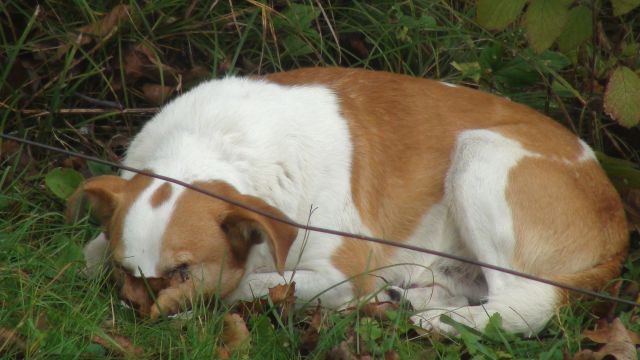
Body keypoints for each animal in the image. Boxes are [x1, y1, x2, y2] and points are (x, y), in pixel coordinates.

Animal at [72, 67, 628, 334]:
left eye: (184, 270)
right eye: (125, 270)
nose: (136, 316)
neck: (216, 145)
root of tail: (619, 224)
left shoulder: (342, 268)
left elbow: (244, 285)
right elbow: (89, 253)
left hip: (481, 156)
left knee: (523, 304)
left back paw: (437, 321)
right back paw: (409, 300)